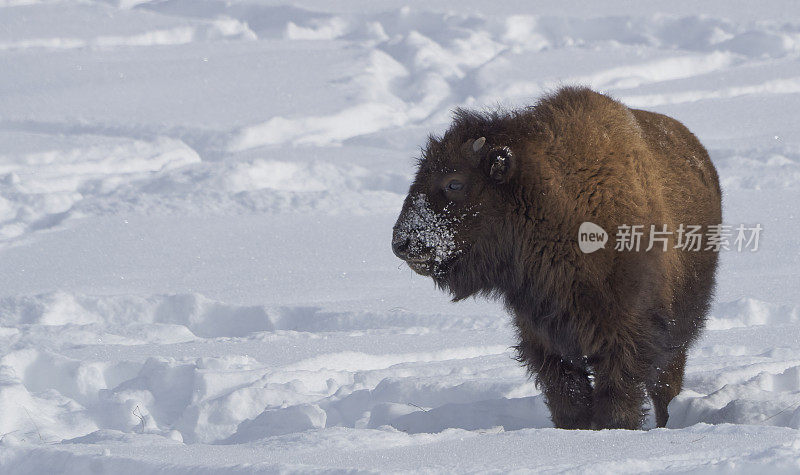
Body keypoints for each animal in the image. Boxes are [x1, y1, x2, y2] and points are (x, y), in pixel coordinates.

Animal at [390, 86, 720, 432]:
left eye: (454, 182)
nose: (402, 243)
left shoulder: (626, 334)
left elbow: (618, 393)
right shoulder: (544, 339)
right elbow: (567, 395)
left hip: (680, 329)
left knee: (665, 384)